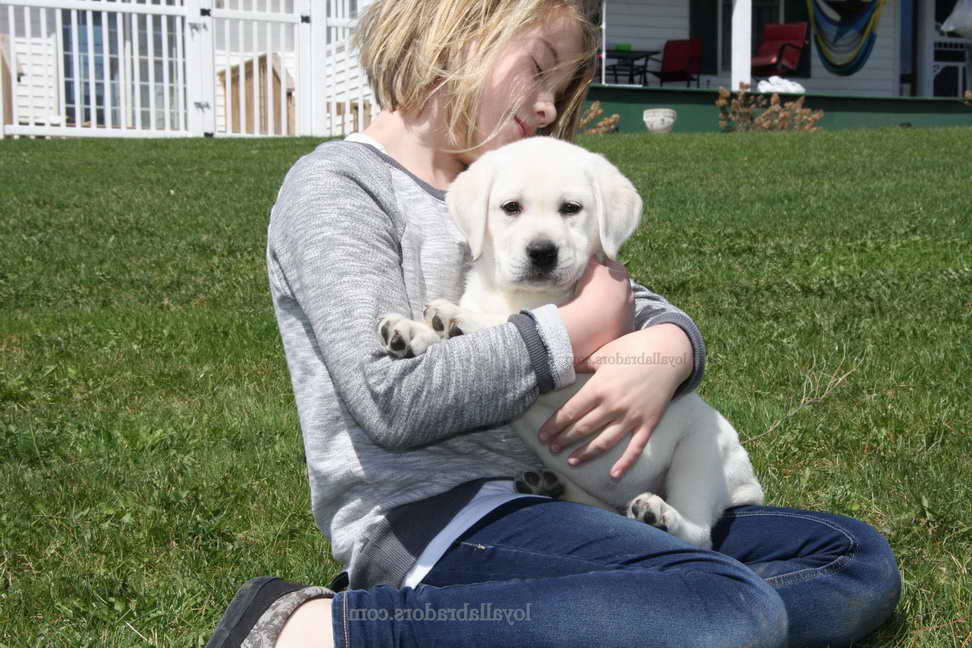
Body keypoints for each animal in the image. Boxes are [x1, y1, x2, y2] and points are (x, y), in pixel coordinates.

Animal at [376, 138, 764, 552]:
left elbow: (520, 324)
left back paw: (659, 515)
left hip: (702, 450)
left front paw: (453, 318)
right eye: (511, 207)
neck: (518, 295)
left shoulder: (592, 367)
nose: (543, 252)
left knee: (700, 534)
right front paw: (411, 330)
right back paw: (549, 486)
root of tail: (746, 485)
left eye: (571, 209)